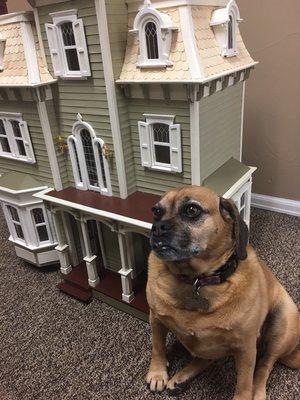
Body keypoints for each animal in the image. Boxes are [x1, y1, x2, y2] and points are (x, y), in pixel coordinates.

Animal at [146, 186, 300, 398]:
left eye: (191, 210)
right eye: (156, 211)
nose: (157, 227)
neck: (196, 280)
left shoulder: (245, 348)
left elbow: (244, 384)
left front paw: (245, 394)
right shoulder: (156, 319)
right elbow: (157, 347)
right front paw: (157, 373)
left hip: (282, 324)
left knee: (265, 364)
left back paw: (258, 391)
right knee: (206, 358)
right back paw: (180, 379)